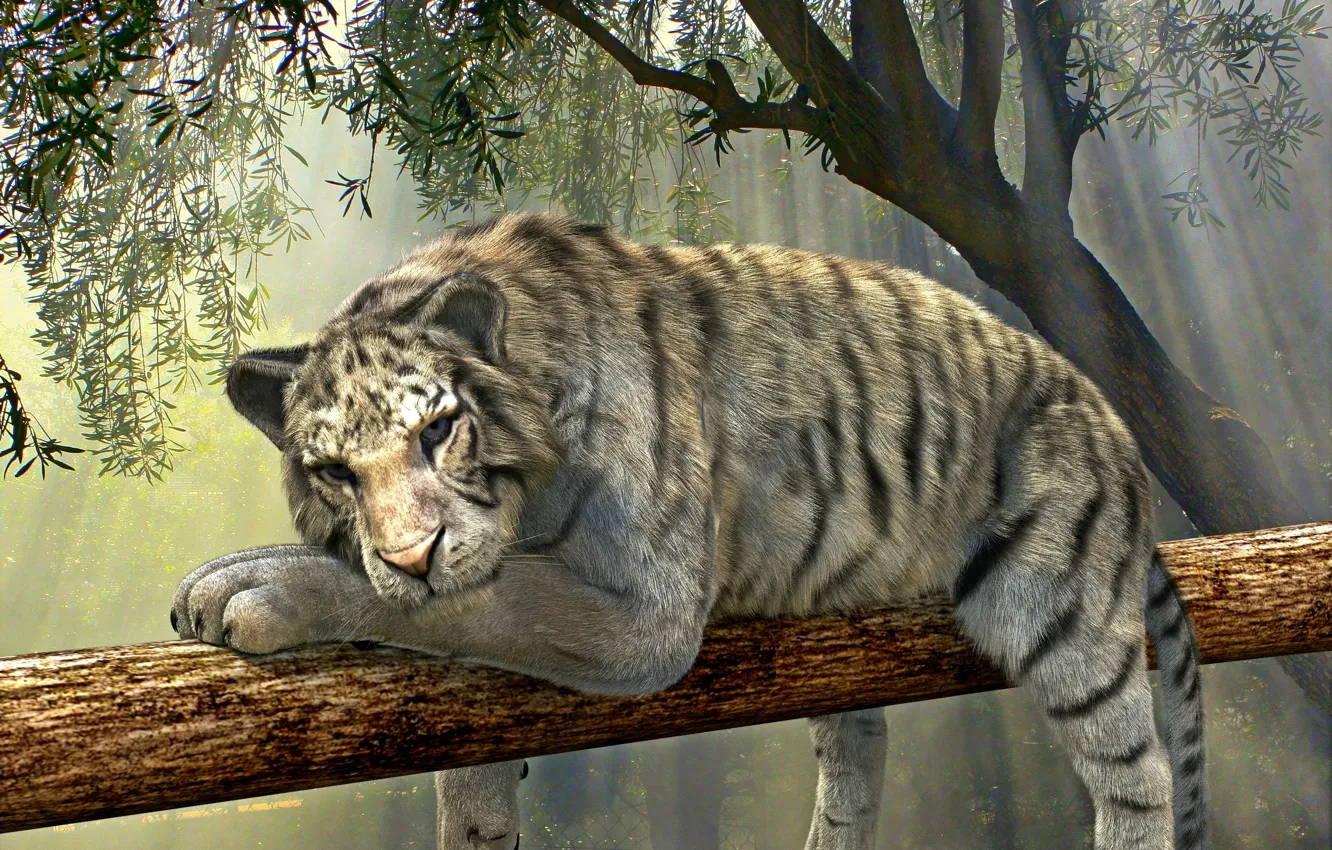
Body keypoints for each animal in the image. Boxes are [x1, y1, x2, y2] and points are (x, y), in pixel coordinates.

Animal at [171, 212, 1208, 850]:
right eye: (335, 473)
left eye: (437, 430)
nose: (409, 554)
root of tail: (1111, 421)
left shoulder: (644, 619)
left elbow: (476, 602)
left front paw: (251, 586)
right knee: (859, 747)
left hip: (1060, 613)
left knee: (1139, 775)